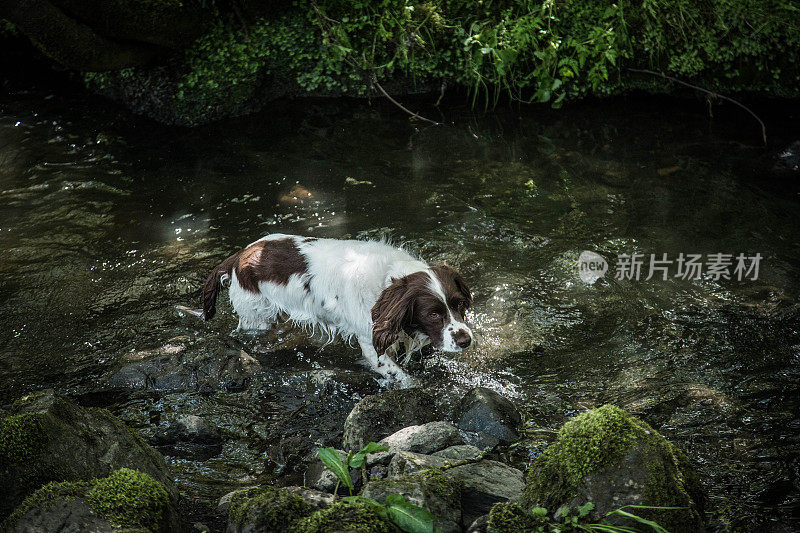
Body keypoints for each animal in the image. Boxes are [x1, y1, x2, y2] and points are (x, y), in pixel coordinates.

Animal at [186, 233, 476, 382]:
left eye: (459, 304)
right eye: (433, 314)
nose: (466, 340)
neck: (388, 278)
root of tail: (239, 255)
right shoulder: (372, 346)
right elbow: (403, 377)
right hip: (256, 316)